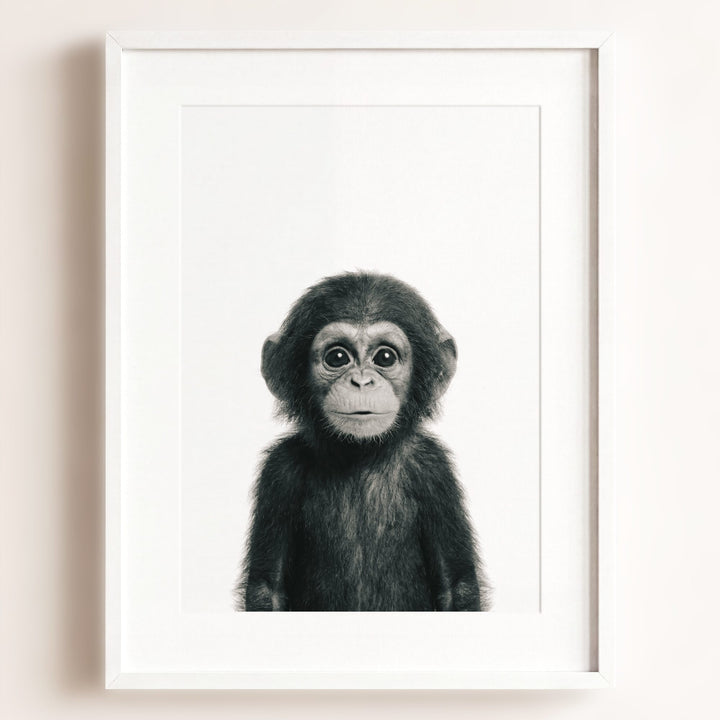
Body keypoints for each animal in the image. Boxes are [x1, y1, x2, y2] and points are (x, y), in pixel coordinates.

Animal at [237, 271, 490, 611]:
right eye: (337, 357)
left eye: (385, 357)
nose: (361, 381)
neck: (360, 454)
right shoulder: (279, 471)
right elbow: (267, 588)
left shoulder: (434, 469)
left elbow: (457, 587)